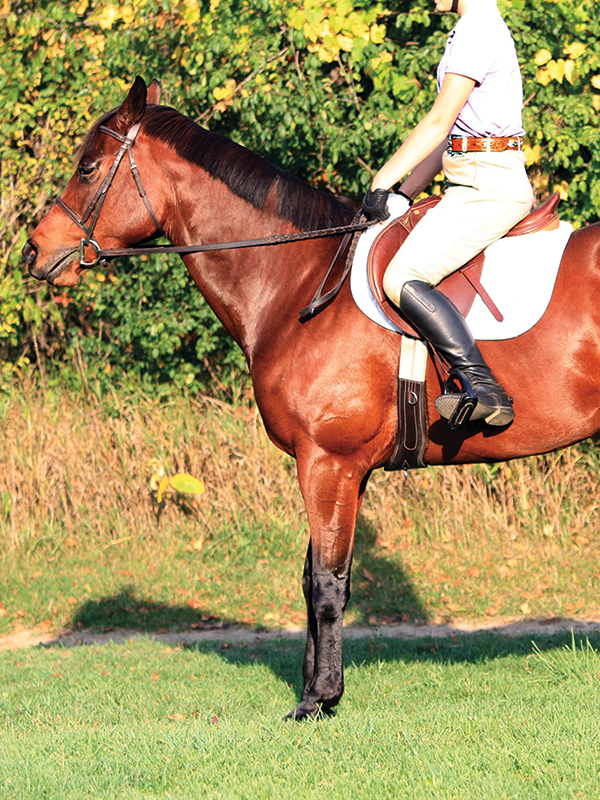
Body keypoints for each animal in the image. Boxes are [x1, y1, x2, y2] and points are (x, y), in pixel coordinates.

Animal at [23, 77, 600, 719]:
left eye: (89, 168)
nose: (33, 251)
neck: (295, 282)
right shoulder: (331, 467)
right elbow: (309, 577)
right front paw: (311, 687)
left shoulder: (329, 463)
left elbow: (327, 583)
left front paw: (319, 699)